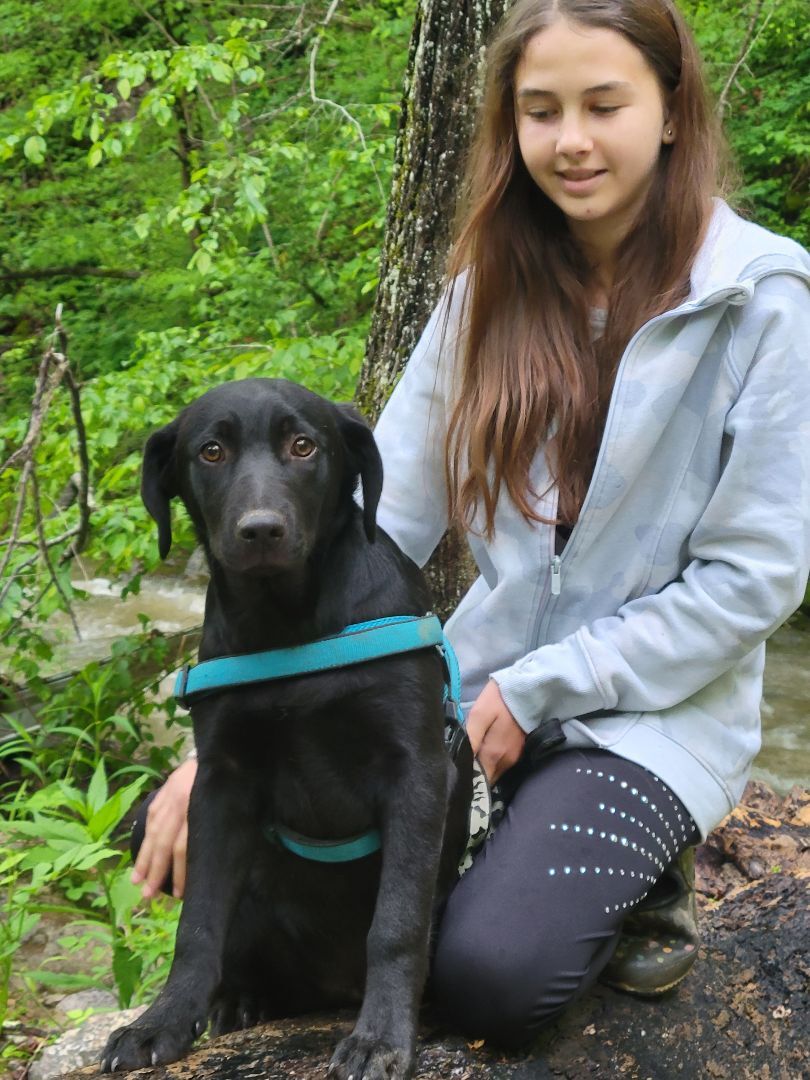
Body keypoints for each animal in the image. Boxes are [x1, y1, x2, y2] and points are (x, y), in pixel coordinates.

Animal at [100, 380, 473, 1080]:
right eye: (211, 451)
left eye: (304, 446)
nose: (261, 530)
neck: (289, 627)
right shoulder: (218, 782)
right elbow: (196, 927)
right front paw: (161, 1023)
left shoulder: (416, 768)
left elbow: (396, 924)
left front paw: (382, 1038)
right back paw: (238, 1002)